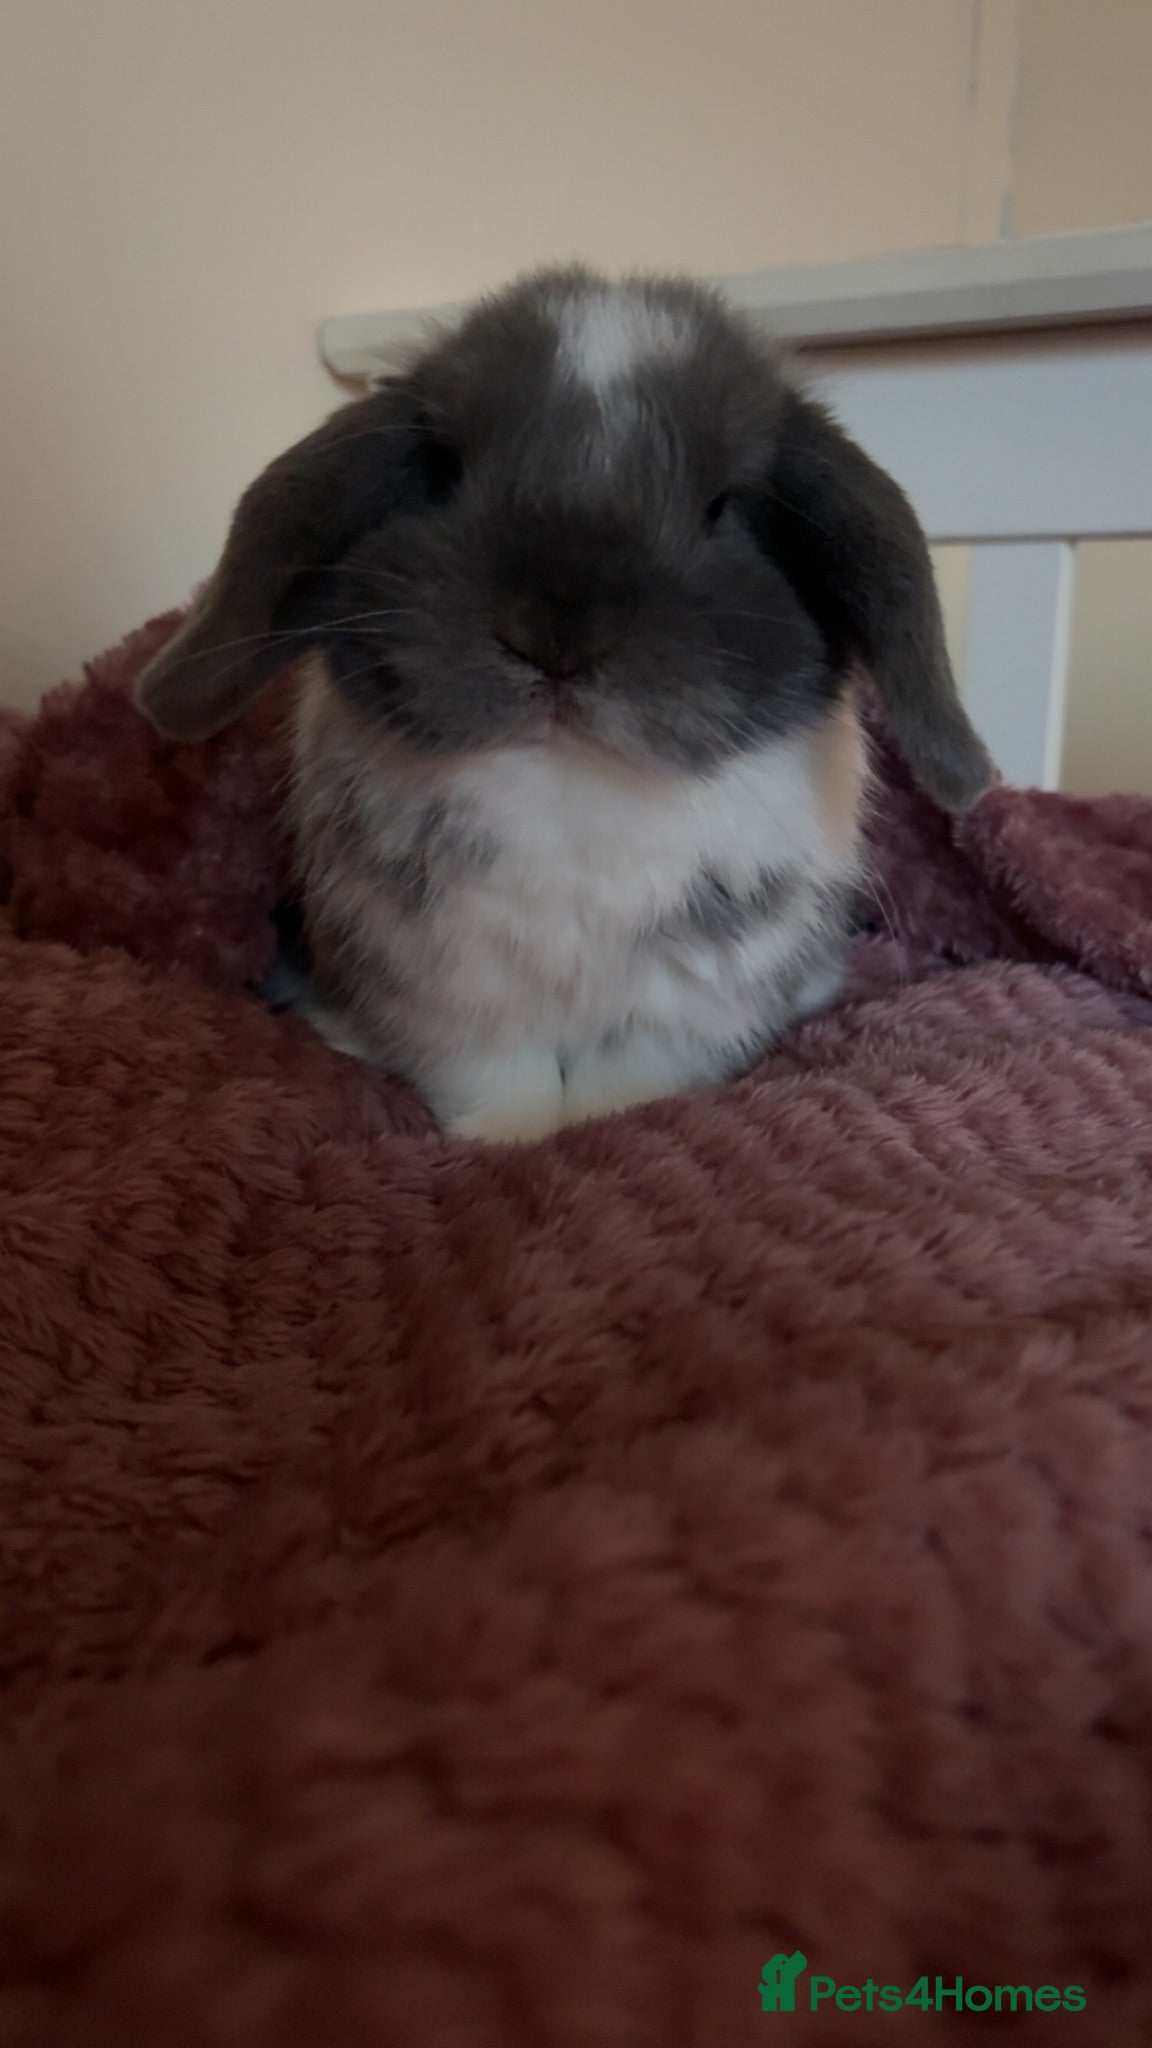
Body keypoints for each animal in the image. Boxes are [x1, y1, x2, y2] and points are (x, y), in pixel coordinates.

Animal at [134, 264, 993, 1141]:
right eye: (443, 470)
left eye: (722, 506)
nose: (555, 634)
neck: (568, 781)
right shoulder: (446, 992)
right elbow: (495, 1081)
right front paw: (514, 1140)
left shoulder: (687, 1001)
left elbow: (629, 1083)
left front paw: (599, 1129)